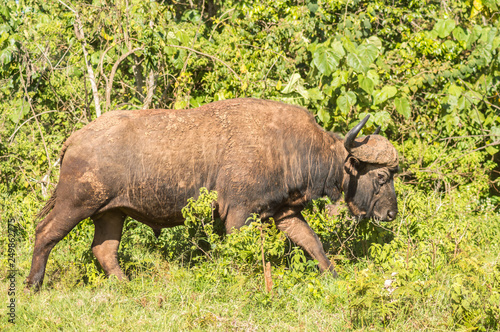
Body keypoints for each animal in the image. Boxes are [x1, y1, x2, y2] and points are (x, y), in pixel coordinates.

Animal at [26, 97, 398, 290]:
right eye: (381, 175)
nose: (391, 213)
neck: (289, 147)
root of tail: (75, 140)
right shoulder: (239, 214)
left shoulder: (284, 212)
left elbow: (312, 243)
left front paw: (333, 276)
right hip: (77, 205)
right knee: (45, 233)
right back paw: (32, 285)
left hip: (110, 214)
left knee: (104, 251)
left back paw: (126, 286)